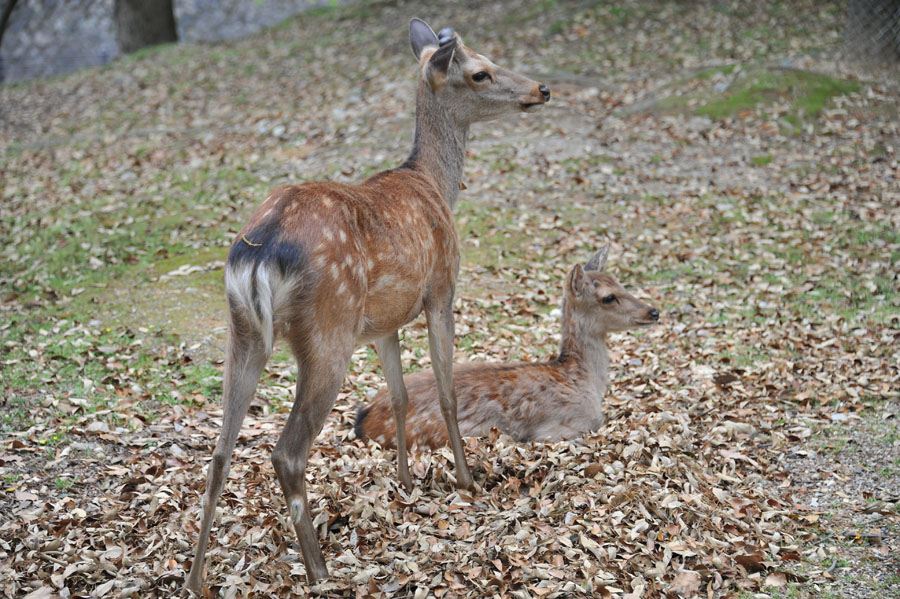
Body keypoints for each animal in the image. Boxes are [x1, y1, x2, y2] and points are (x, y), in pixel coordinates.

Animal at [185, 17, 548, 592]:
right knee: (287, 452)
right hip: (327, 331)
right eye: (480, 72)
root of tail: (260, 252)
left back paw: (194, 580)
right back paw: (320, 572)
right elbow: (445, 391)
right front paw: (467, 479)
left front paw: (404, 480)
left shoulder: (381, 325)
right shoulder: (441, 289)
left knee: (220, 452)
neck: (435, 183)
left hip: (240, 329)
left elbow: (398, 396)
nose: (541, 89)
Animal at [356, 245, 656, 450]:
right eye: (608, 297)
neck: (582, 380)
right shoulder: (562, 427)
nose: (653, 311)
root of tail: (363, 419)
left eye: (620, 283)